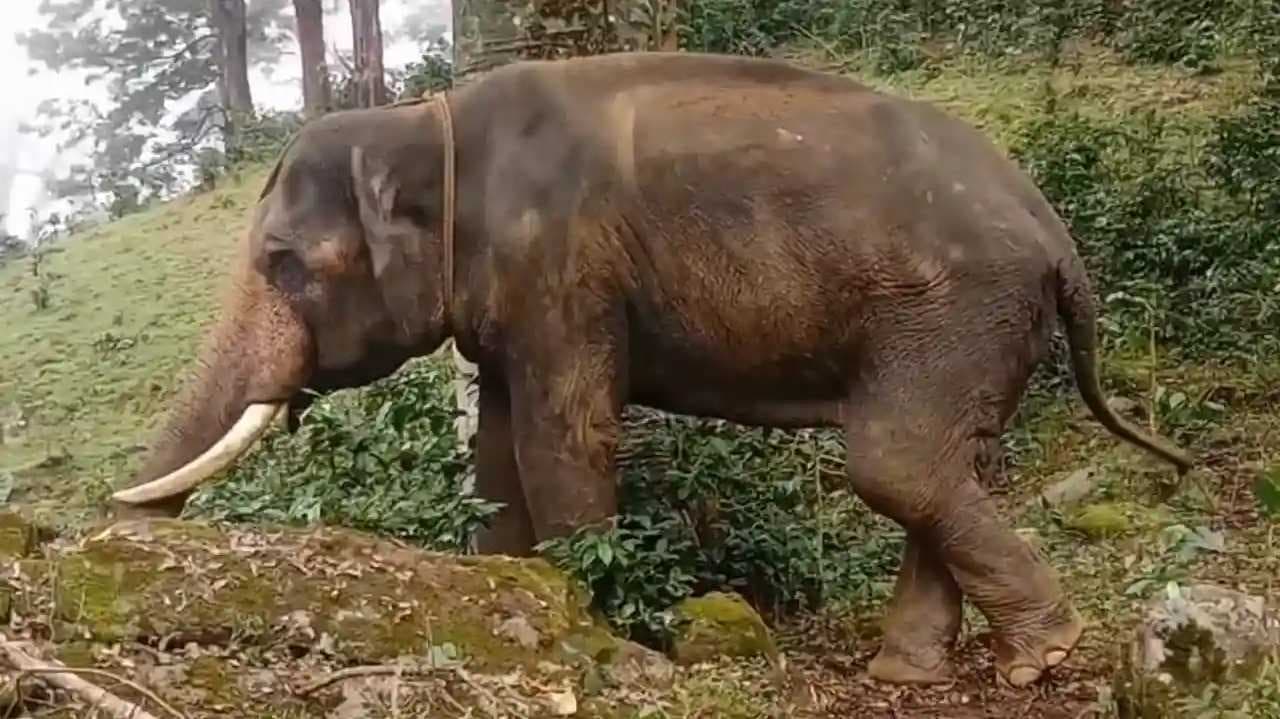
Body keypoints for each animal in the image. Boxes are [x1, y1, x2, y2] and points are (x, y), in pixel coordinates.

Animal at [110, 51, 1192, 689]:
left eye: (284, 261)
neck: (427, 119)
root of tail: (1056, 233)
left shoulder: (561, 264)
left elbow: (564, 435)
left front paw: (601, 632)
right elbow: (498, 449)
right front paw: (511, 597)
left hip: (951, 309)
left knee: (897, 462)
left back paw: (1037, 658)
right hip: (975, 323)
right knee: (943, 465)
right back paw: (911, 674)